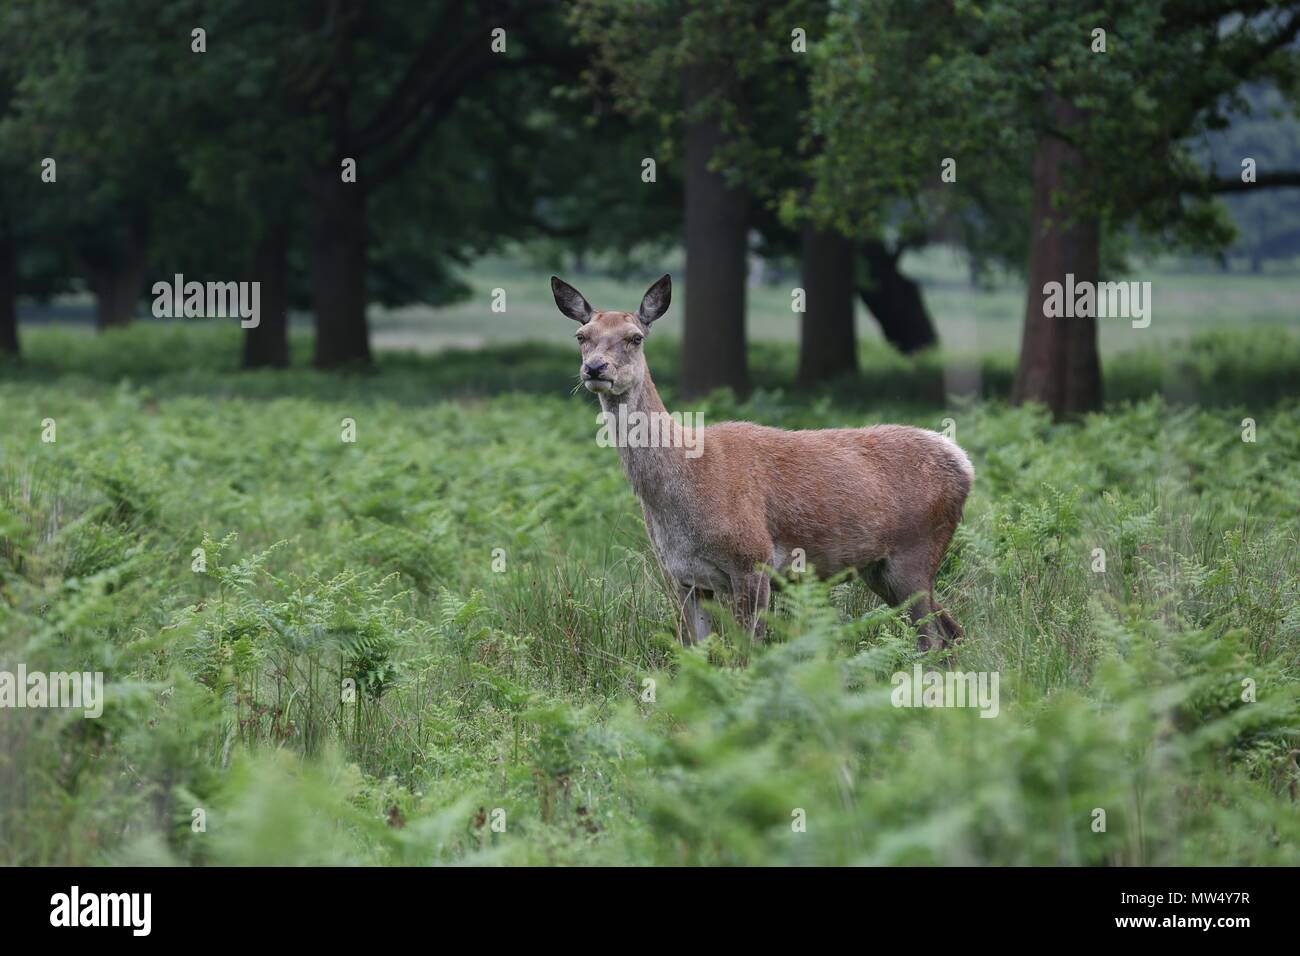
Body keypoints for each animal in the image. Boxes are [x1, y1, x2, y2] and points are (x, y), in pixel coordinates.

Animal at [551, 273, 977, 655]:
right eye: (582, 336)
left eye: (635, 337)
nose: (595, 368)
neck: (686, 485)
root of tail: (964, 462)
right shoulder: (684, 577)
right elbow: (696, 656)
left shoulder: (753, 561)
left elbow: (748, 656)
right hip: (881, 569)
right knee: (952, 630)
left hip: (916, 551)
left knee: (932, 637)